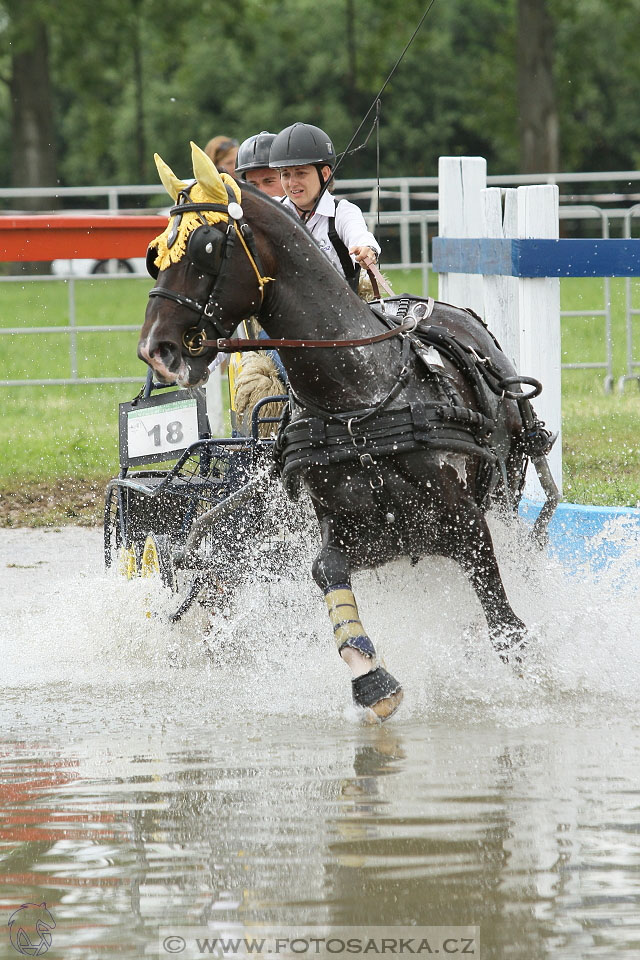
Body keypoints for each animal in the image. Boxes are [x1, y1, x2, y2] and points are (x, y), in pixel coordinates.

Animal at [139, 142, 556, 720]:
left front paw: (532, 682)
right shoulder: (360, 532)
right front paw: (372, 679)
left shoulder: (466, 522)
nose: (157, 349)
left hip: (503, 489)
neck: (359, 403)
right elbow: (325, 571)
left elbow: (504, 623)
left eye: (205, 248)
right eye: (156, 253)